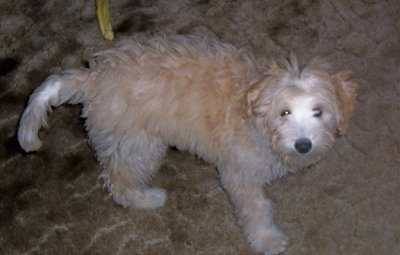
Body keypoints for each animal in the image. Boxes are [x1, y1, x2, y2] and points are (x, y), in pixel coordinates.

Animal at [17, 34, 358, 254]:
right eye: (284, 112)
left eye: (318, 112)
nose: (303, 146)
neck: (253, 113)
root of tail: (93, 79)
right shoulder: (239, 173)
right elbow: (256, 208)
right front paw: (268, 241)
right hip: (139, 145)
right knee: (117, 181)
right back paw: (146, 199)